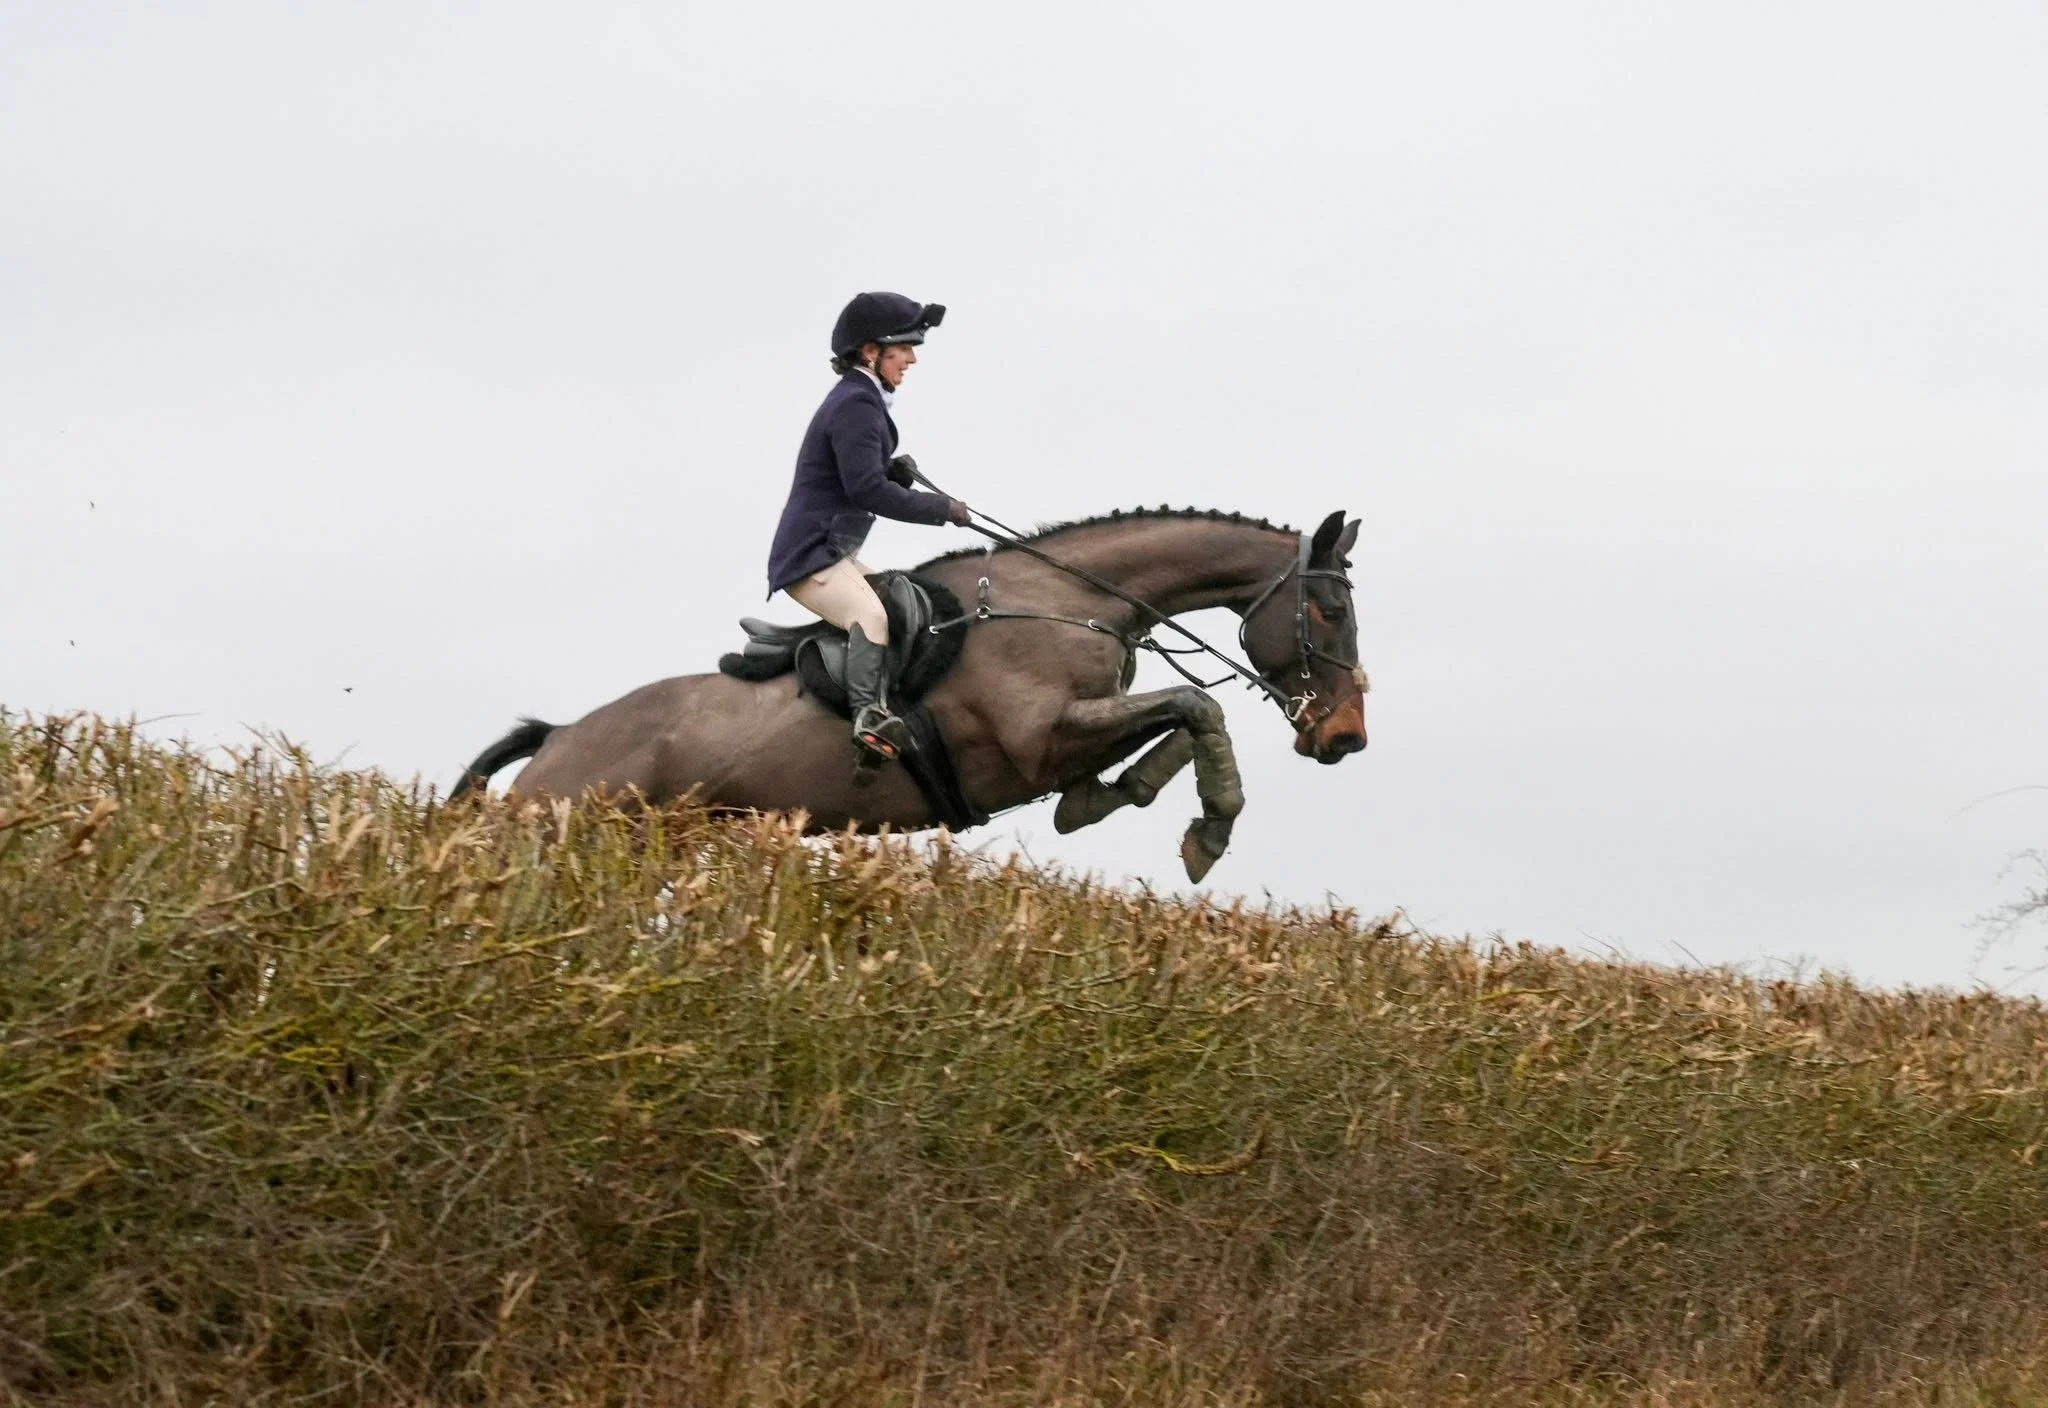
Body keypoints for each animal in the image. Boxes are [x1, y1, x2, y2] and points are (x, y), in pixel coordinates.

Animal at [451, 507, 1368, 882]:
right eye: (1330, 611)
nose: (1346, 738)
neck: (1067, 598)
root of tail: (559, 736)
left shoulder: (1071, 744)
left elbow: (1175, 722)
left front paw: (1131, 799)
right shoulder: (1039, 739)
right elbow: (1198, 706)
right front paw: (1208, 832)